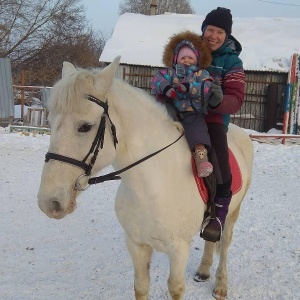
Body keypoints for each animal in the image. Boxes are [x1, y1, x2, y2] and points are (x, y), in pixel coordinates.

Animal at [37, 56, 253, 300]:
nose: (49, 202)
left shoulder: (179, 249)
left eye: (85, 126)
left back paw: (220, 285)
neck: (152, 187)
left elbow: (175, 288)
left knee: (224, 243)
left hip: (233, 212)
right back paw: (204, 271)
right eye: (51, 122)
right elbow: (141, 286)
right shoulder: (136, 244)